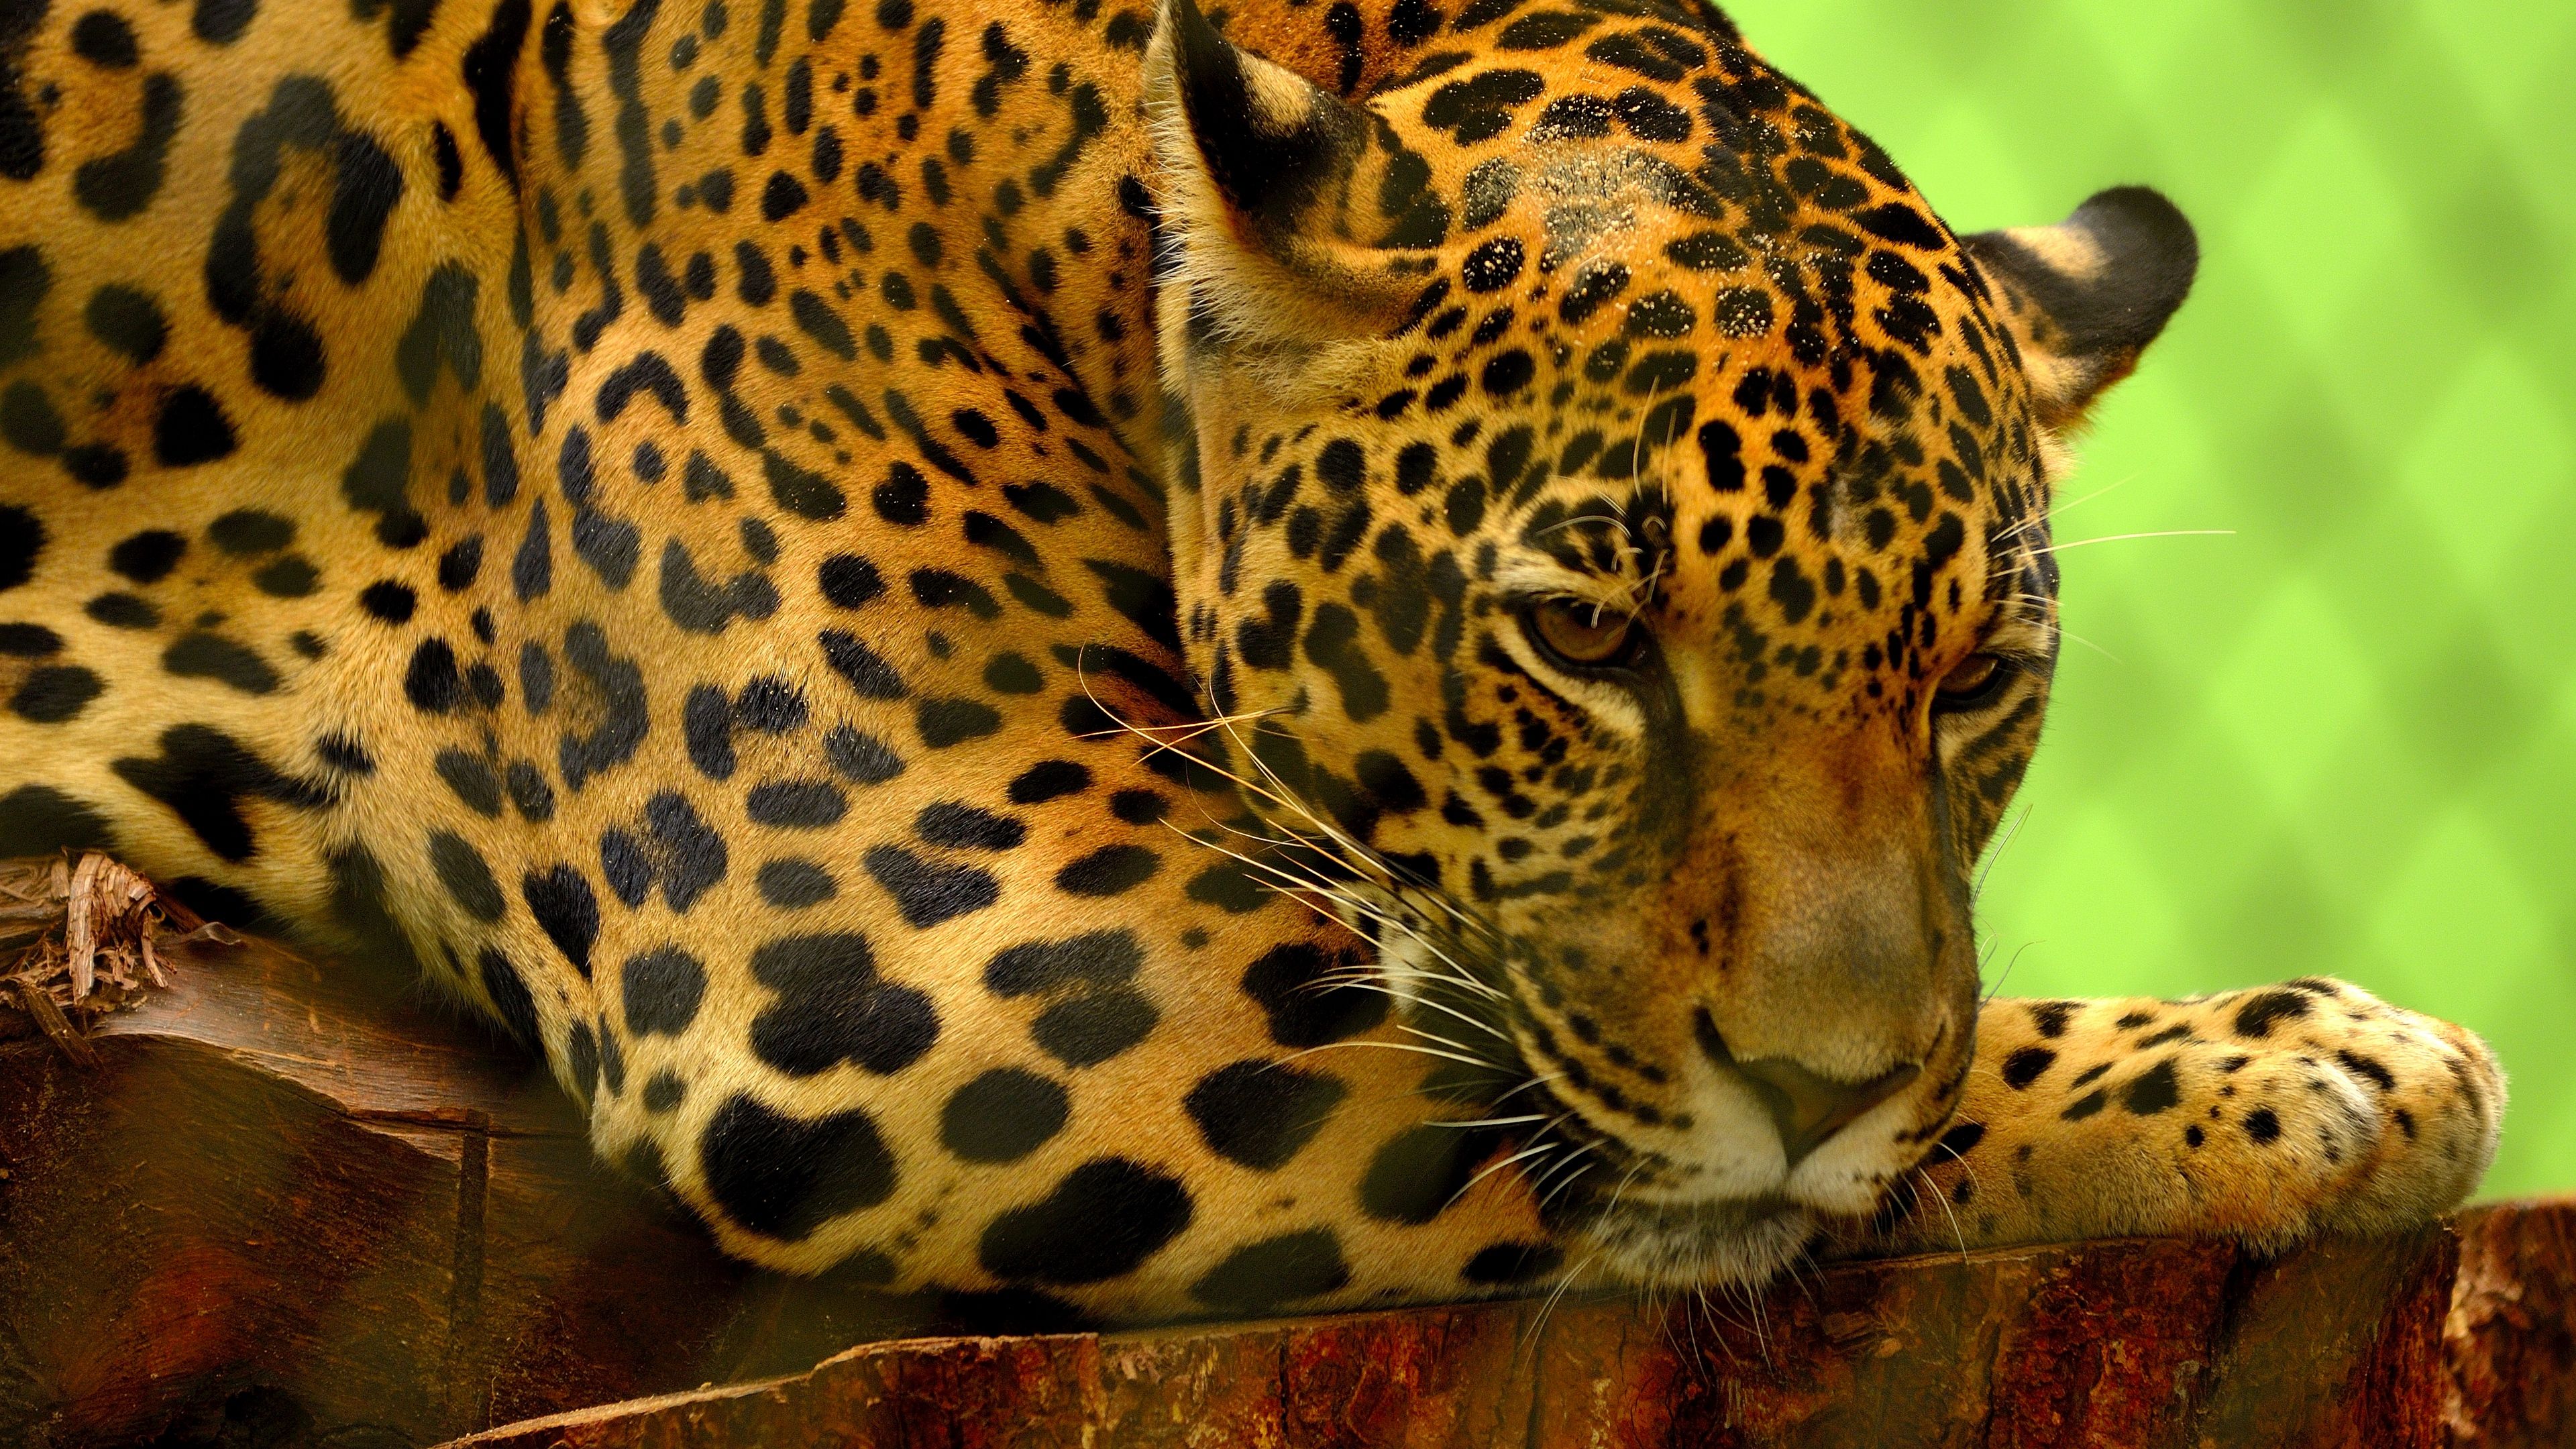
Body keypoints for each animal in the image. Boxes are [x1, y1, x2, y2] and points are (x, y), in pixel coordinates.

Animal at [0, 0, 2503, 1326]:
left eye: (1974, 680)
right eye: (1584, 636)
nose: (1817, 1076)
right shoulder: (916, 940)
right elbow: (1653, 1145)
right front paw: (2291, 1069)